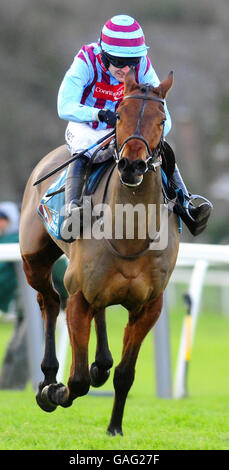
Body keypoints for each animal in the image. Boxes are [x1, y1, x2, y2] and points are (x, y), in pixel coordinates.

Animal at [19, 68, 179, 436]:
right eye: (118, 115)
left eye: (162, 119)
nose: (133, 165)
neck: (130, 236)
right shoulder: (79, 296)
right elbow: (76, 381)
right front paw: (54, 391)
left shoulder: (149, 306)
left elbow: (125, 374)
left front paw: (114, 427)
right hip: (34, 260)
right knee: (49, 301)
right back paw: (47, 376)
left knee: (101, 315)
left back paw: (99, 364)